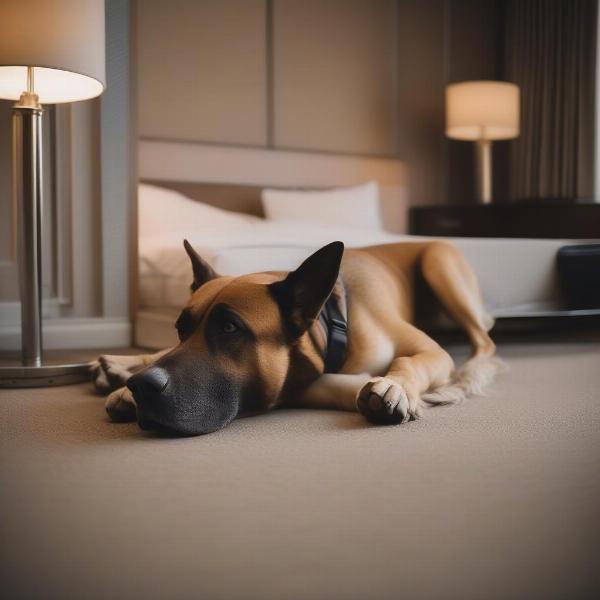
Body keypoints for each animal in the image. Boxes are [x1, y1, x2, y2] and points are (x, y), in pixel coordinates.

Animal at [92, 239, 502, 436]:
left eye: (229, 329)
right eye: (181, 328)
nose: (142, 386)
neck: (334, 318)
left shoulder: (430, 352)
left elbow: (406, 362)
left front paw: (396, 387)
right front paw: (127, 380)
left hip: (438, 262)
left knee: (485, 343)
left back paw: (466, 377)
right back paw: (116, 368)